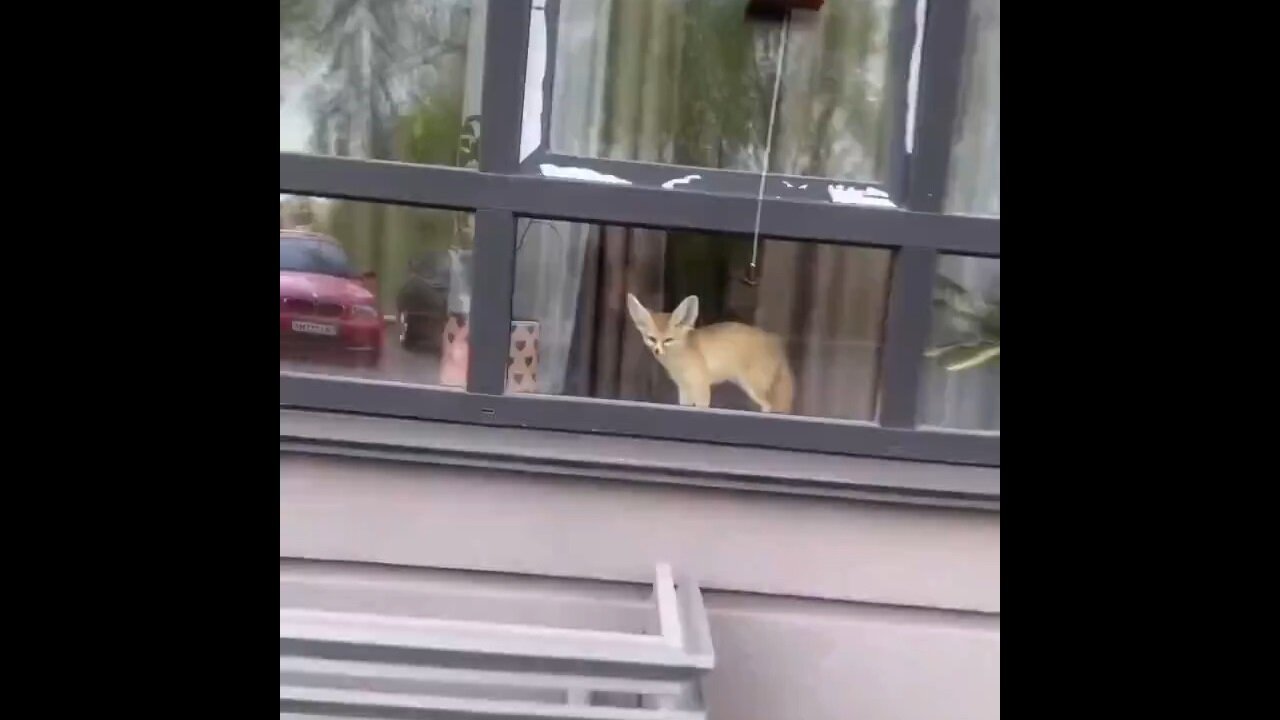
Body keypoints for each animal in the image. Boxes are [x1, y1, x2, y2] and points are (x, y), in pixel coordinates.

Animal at [627, 292, 793, 412]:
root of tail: (774, 340)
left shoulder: (701, 386)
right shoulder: (684, 388)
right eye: (652, 339)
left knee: (769, 406)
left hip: (754, 388)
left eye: (668, 340)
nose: (657, 351)